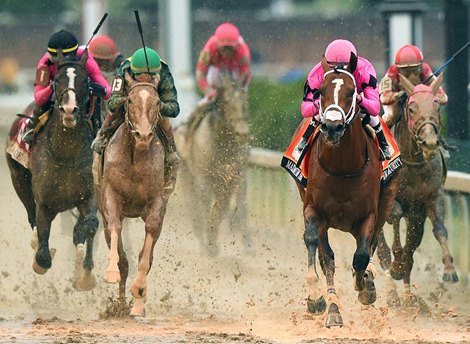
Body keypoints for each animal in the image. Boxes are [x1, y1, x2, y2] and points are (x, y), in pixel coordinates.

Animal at [4, 49, 98, 290]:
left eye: (86, 81)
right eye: (56, 81)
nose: (69, 110)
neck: (66, 154)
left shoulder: (88, 195)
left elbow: (91, 224)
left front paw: (85, 274)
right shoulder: (45, 204)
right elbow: (44, 255)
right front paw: (40, 255)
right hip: (18, 178)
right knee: (30, 214)